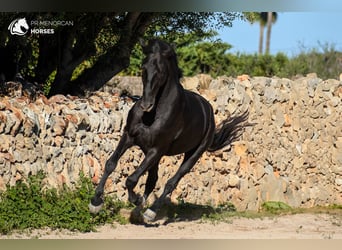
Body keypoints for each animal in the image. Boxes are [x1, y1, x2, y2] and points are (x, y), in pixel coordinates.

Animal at [89, 39, 247, 223]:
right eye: (143, 67)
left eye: (161, 71)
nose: (146, 104)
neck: (153, 115)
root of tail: (208, 111)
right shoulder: (129, 137)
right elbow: (110, 164)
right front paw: (96, 202)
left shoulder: (156, 149)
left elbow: (131, 179)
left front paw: (135, 198)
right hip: (154, 155)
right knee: (152, 179)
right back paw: (139, 211)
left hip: (193, 154)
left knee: (172, 182)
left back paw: (151, 211)